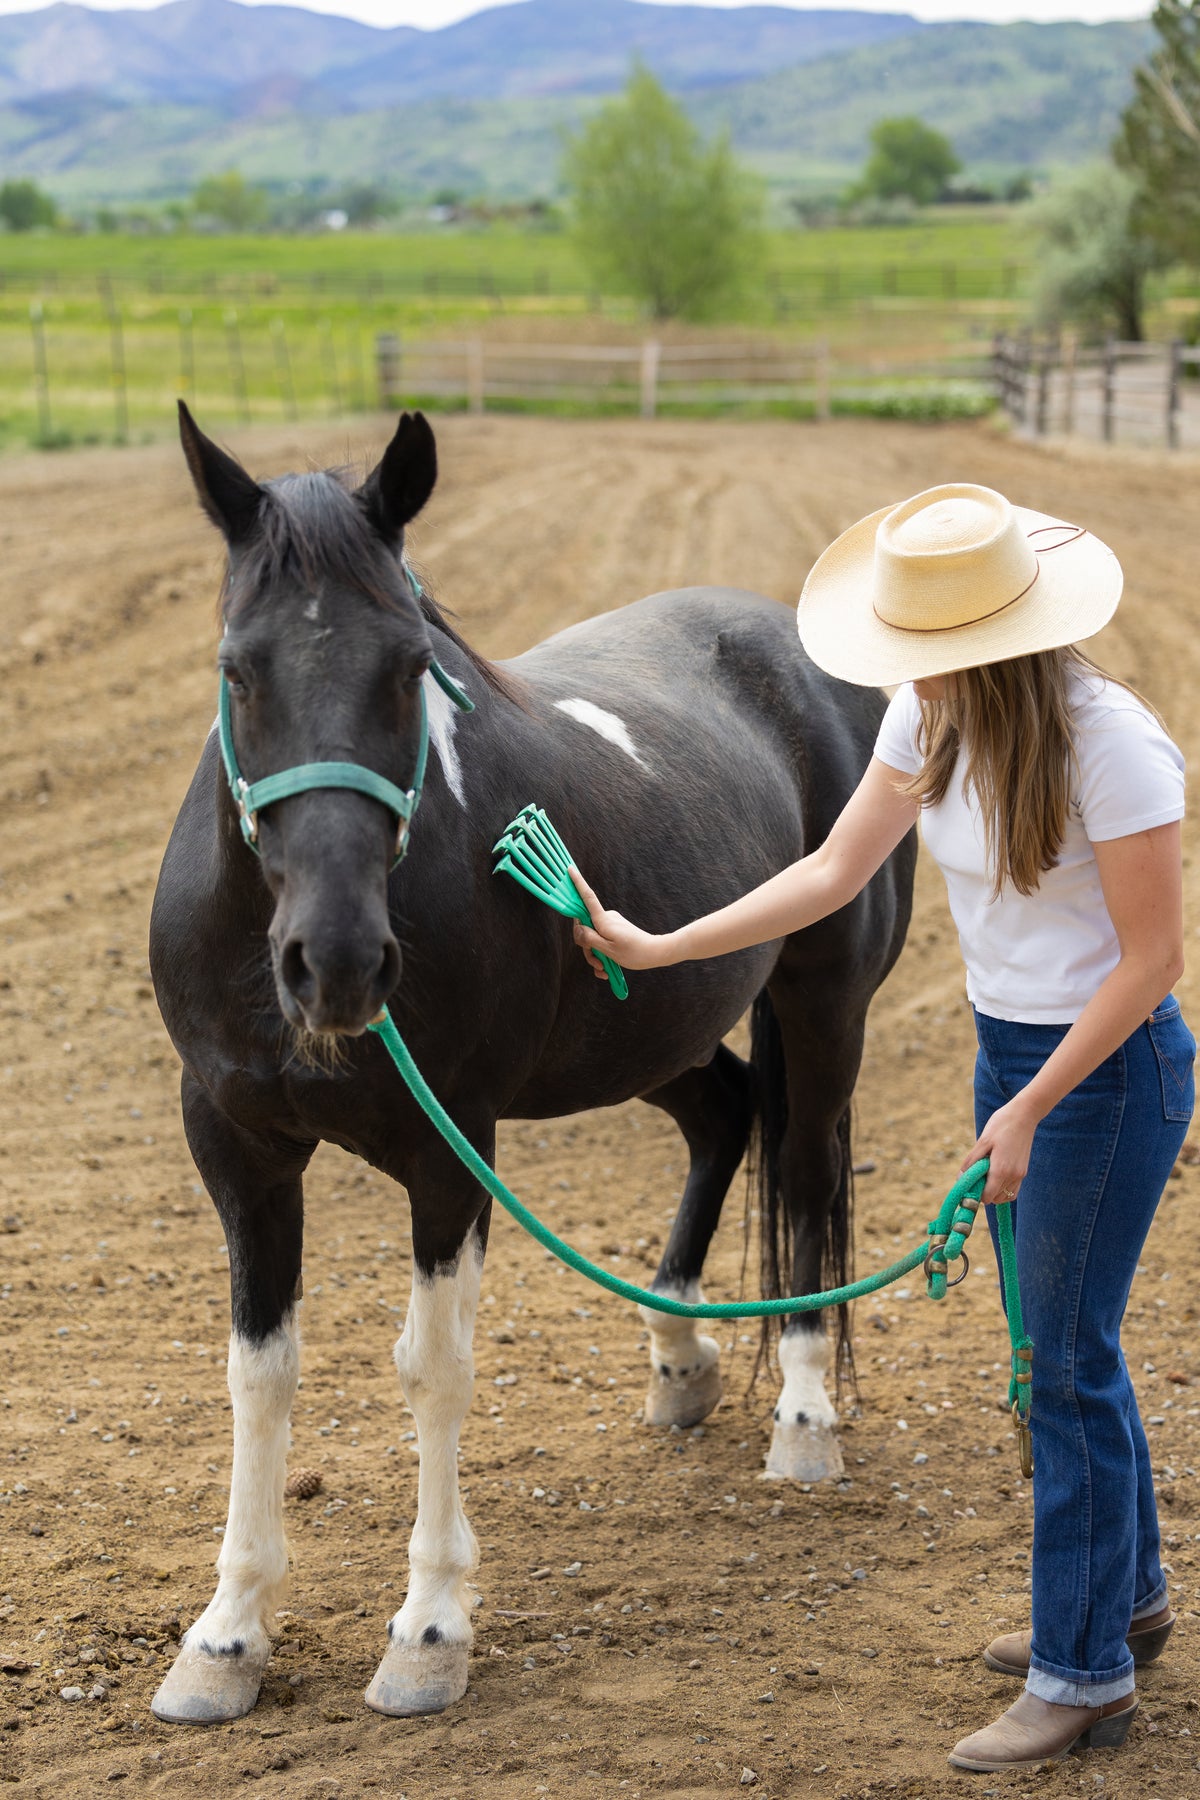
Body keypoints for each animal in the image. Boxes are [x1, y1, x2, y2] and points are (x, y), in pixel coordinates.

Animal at [146, 403, 915, 1725]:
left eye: (411, 666)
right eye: (237, 669)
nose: (337, 963)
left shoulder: (450, 1151)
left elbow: (433, 1370)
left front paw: (430, 1632)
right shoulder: (239, 1148)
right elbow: (260, 1375)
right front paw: (226, 1637)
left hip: (822, 1006)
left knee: (808, 1171)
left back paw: (806, 1418)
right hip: (651, 1019)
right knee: (726, 1114)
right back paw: (680, 1358)